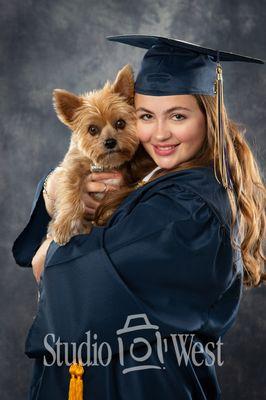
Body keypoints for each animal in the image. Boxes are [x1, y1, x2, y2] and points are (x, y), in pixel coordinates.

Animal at [46, 64, 139, 245]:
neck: (103, 165)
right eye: (92, 129)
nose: (110, 142)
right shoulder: (71, 169)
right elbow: (70, 194)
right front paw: (63, 226)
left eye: (120, 123)